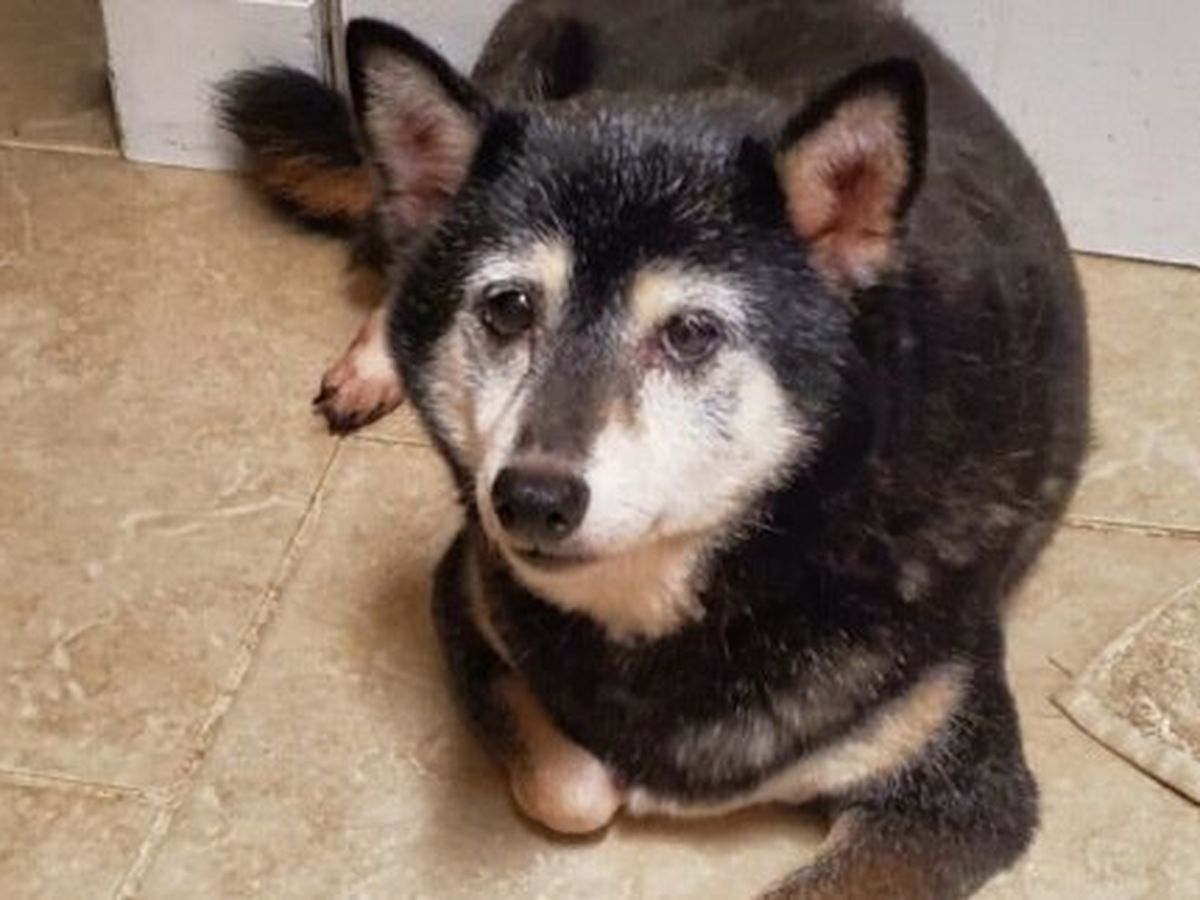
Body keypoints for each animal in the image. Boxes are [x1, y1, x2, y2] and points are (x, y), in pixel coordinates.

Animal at [220, 1, 1089, 896]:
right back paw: (371, 363)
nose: (530, 499)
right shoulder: (466, 589)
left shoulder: (958, 788)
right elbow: (571, 790)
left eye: (692, 333)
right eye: (507, 309)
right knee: (398, 246)